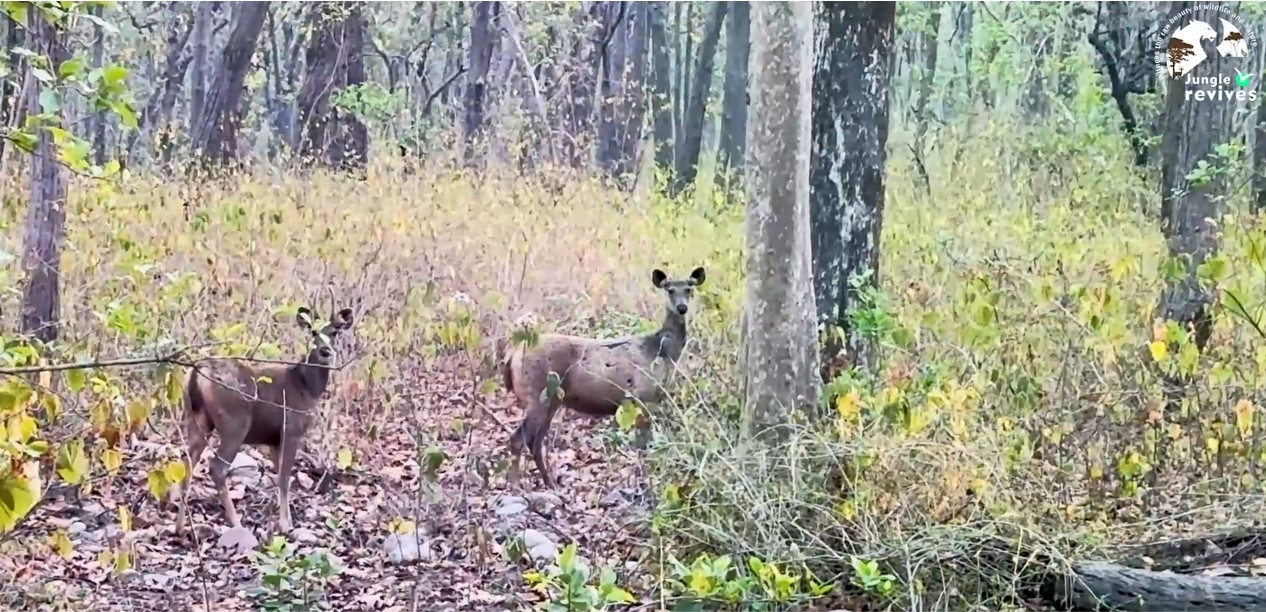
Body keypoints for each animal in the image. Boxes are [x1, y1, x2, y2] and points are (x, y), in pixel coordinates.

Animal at [170, 309, 354, 534]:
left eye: (335, 332)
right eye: (313, 332)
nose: (325, 351)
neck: (306, 387)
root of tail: (198, 370)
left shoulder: (273, 440)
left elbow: (281, 477)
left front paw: (285, 520)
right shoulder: (291, 429)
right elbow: (284, 477)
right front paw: (286, 525)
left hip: (196, 418)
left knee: (187, 461)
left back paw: (179, 527)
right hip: (235, 422)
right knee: (217, 468)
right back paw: (237, 524)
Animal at [501, 268, 703, 489]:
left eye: (689, 289)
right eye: (670, 289)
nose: (682, 308)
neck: (661, 351)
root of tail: (513, 355)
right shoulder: (642, 396)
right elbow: (643, 446)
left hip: (552, 400)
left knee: (534, 442)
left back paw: (551, 484)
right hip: (537, 394)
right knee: (518, 439)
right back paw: (515, 485)